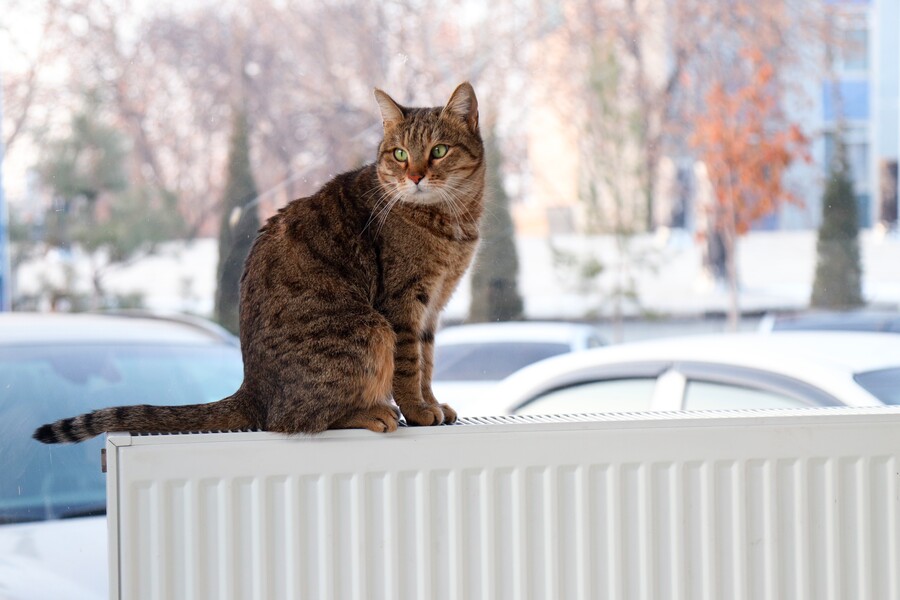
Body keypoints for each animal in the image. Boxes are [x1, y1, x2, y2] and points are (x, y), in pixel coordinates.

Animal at [33, 82, 486, 442]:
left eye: (438, 151)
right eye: (399, 154)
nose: (415, 176)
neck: (452, 221)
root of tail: (252, 388)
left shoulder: (433, 307)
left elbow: (428, 363)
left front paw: (433, 403)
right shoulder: (404, 304)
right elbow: (410, 368)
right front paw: (418, 410)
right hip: (371, 330)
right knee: (290, 420)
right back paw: (372, 413)